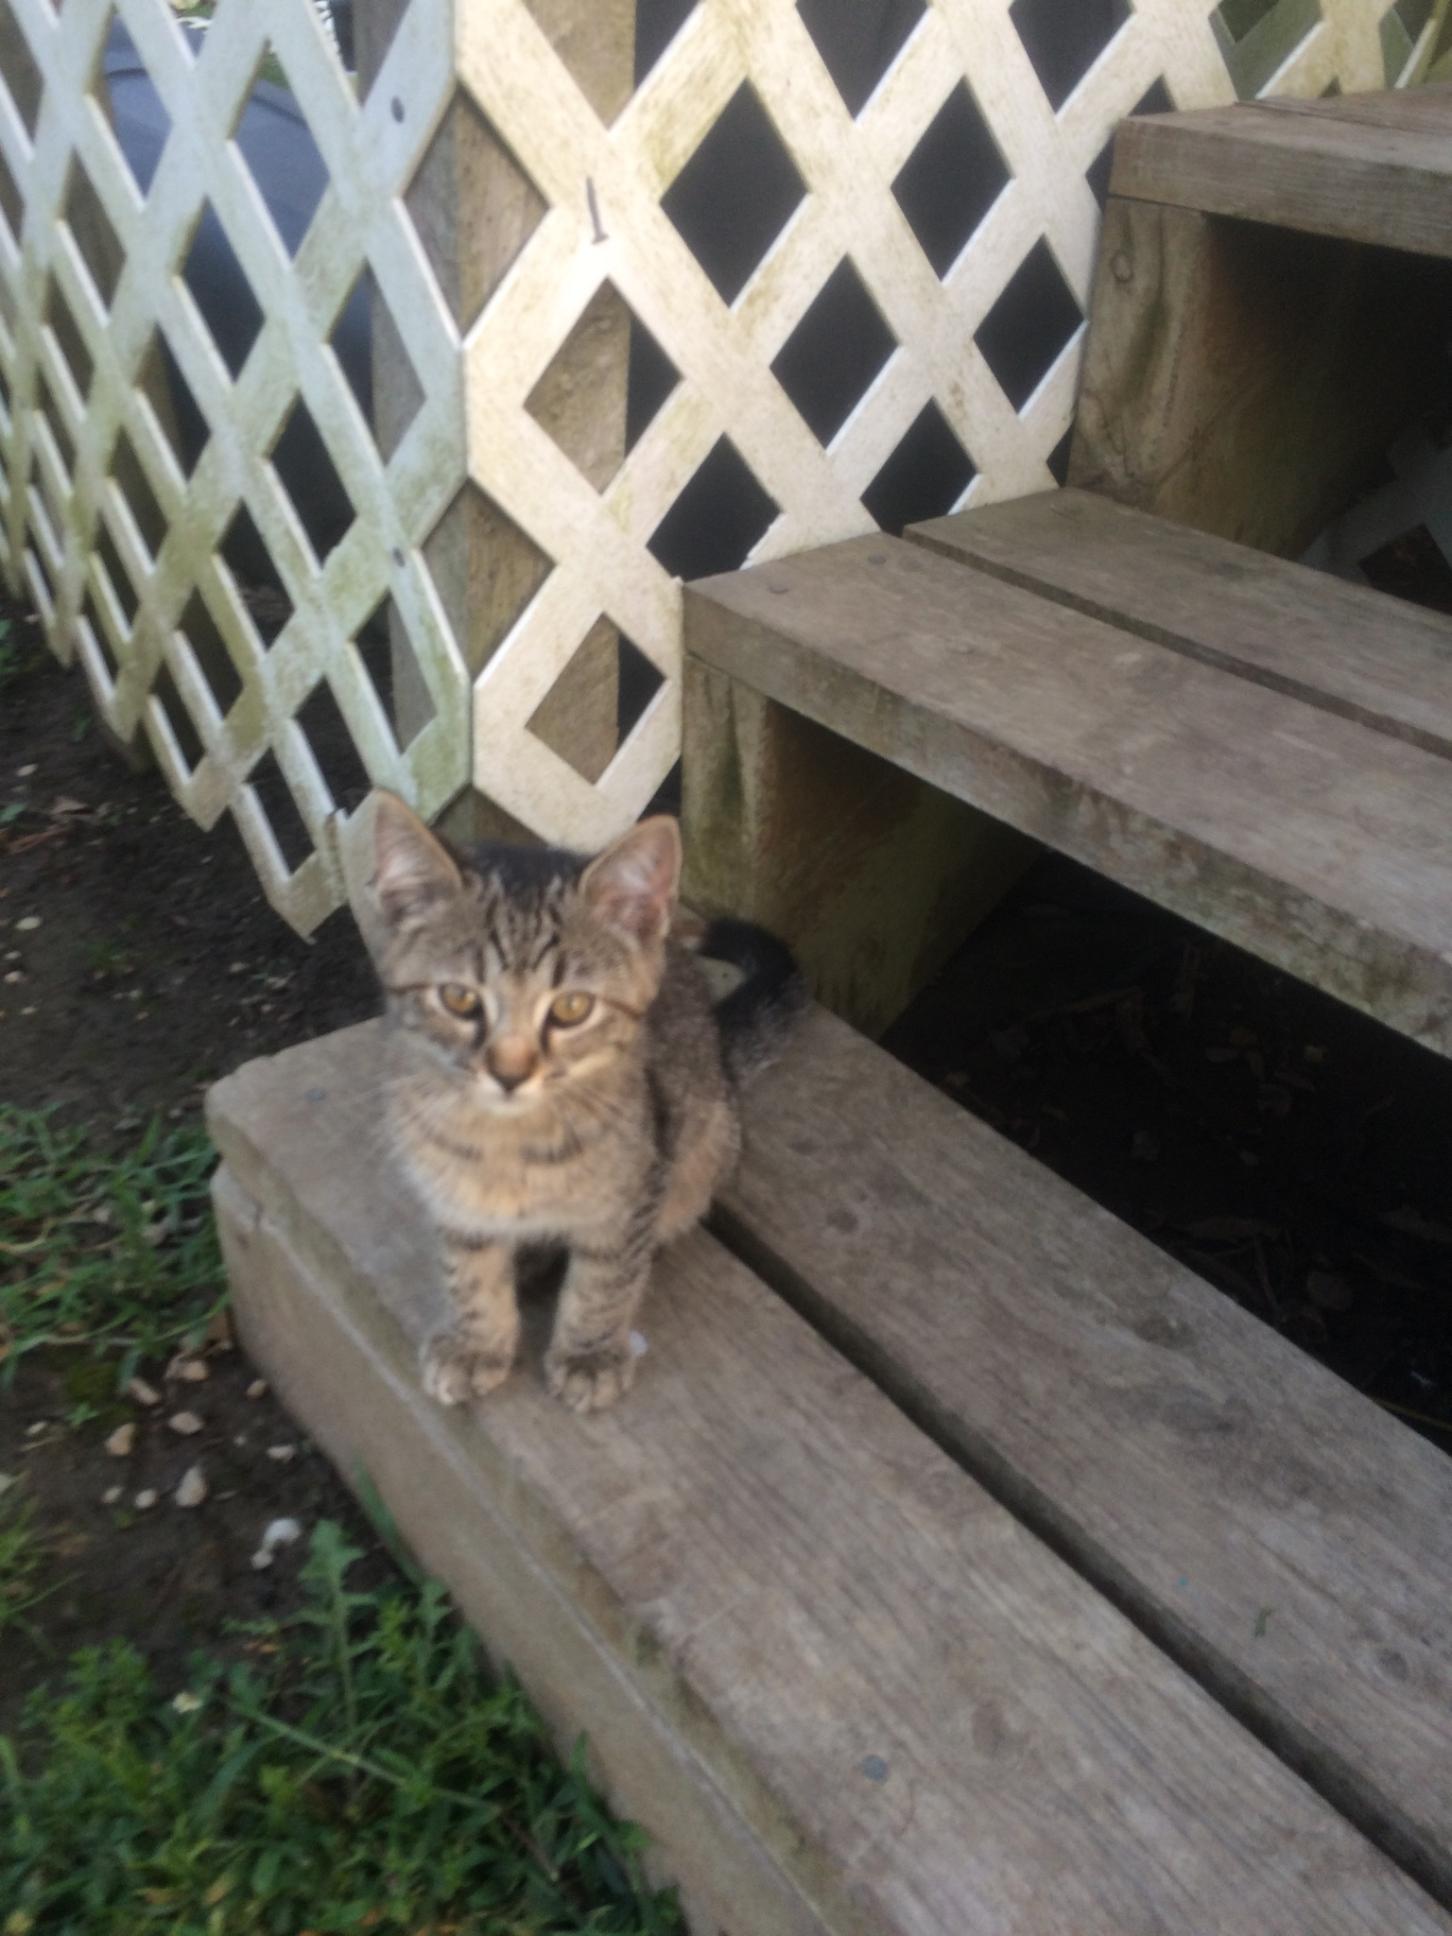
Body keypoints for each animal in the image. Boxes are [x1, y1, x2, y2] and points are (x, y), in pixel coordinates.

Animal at [363, 793, 809, 1417]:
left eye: (571, 1007)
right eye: (459, 998)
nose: (509, 1074)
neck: (510, 1144)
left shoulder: (636, 1185)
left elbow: (606, 1276)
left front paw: (589, 1354)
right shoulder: (454, 1195)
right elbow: (468, 1269)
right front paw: (478, 1342)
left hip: (704, 1142)